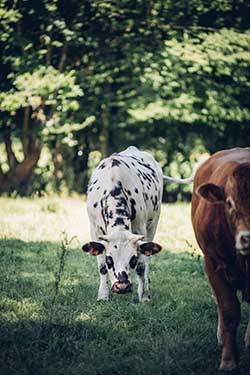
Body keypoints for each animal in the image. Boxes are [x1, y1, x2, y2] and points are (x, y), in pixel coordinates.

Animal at [82, 147, 164, 302]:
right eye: (109, 259)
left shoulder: (140, 229)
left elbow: (141, 266)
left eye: (133, 259)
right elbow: (101, 267)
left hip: (153, 224)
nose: (122, 286)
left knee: (148, 259)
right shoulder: (94, 230)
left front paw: (143, 295)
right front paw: (103, 295)